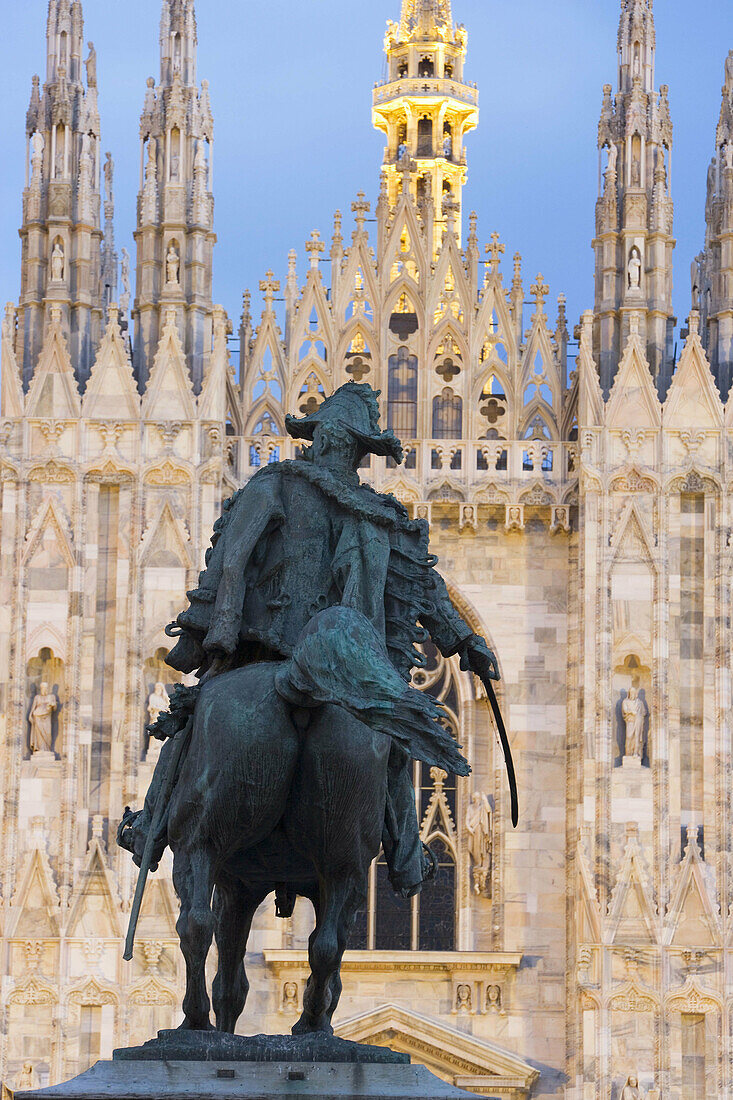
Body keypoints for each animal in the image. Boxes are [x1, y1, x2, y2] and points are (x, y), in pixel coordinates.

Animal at [162, 655, 391, 1034]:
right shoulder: (246, 888)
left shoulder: (235, 887)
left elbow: (229, 979)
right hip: (342, 847)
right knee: (326, 945)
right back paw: (310, 1024)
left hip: (198, 842)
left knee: (194, 923)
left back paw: (196, 1020)